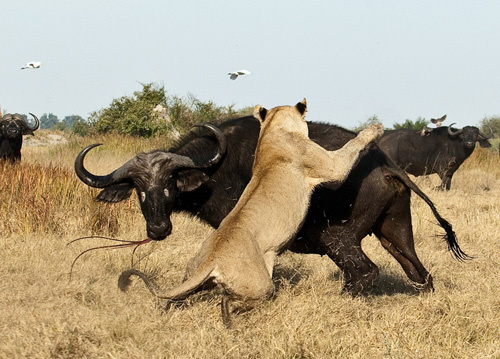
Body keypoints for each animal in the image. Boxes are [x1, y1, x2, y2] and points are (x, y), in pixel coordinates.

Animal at [75, 116, 468, 296]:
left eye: (170, 183)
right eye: (139, 189)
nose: (157, 229)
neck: (213, 169)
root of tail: (385, 164)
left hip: (338, 239)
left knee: (364, 273)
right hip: (395, 231)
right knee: (420, 273)